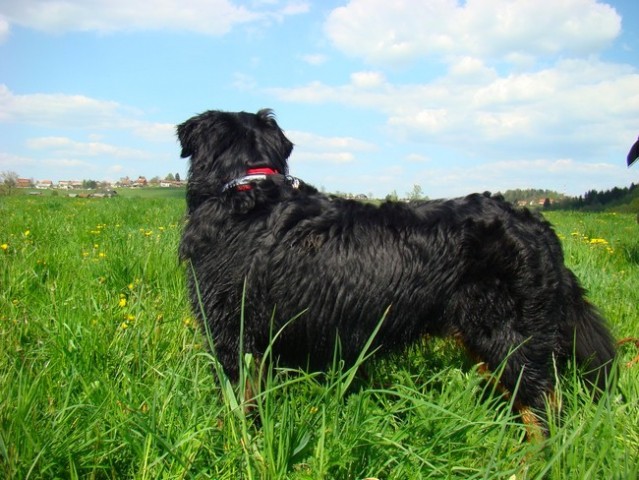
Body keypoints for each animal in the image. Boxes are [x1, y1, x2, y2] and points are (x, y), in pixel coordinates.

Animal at [178, 108, 616, 432]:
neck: (248, 193)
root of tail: (537, 225)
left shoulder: (232, 332)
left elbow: (239, 402)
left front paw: (236, 442)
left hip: (507, 332)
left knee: (543, 405)